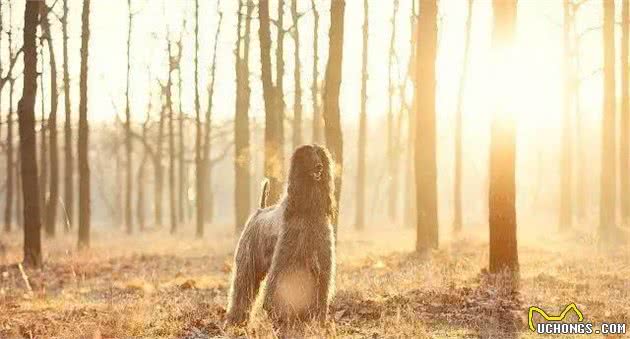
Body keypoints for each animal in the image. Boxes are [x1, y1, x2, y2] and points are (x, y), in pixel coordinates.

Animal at [226, 145, 338, 328]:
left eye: (320, 155)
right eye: (308, 155)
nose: (319, 167)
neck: (308, 210)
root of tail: (260, 210)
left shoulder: (322, 262)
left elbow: (320, 290)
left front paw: (316, 316)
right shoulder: (285, 260)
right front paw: (278, 315)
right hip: (248, 263)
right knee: (241, 289)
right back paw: (237, 319)